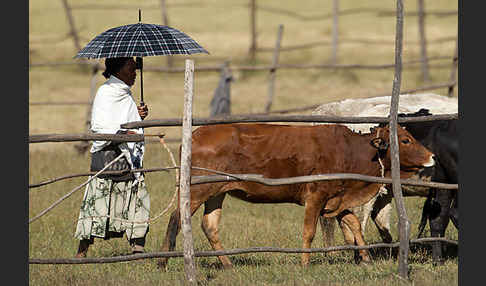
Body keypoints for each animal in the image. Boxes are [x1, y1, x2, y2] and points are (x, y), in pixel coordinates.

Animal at [158, 123, 434, 268]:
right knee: (176, 219)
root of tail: (195, 134)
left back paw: (227, 264)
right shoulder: (316, 196)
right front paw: (304, 263)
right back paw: (163, 261)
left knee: (210, 226)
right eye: (406, 140)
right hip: (196, 192)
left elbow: (354, 224)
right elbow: (309, 232)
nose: (432, 156)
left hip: (217, 194)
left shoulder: (337, 198)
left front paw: (365, 258)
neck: (351, 151)